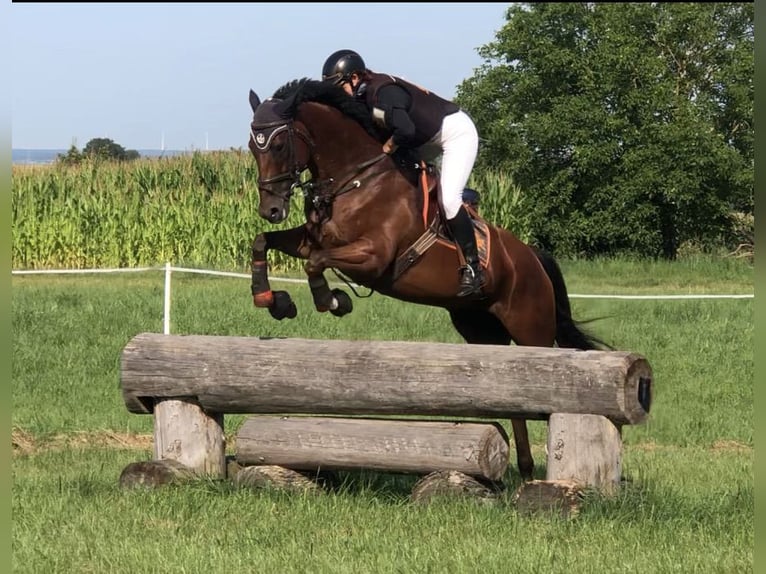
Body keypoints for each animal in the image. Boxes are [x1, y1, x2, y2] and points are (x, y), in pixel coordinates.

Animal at [246, 76, 612, 482]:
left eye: (278, 144)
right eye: (251, 146)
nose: (271, 209)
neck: (355, 178)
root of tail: (532, 256)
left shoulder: (373, 256)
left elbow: (315, 264)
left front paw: (333, 300)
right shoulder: (311, 239)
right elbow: (264, 241)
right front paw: (271, 300)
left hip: (531, 328)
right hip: (481, 330)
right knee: (511, 394)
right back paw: (526, 468)